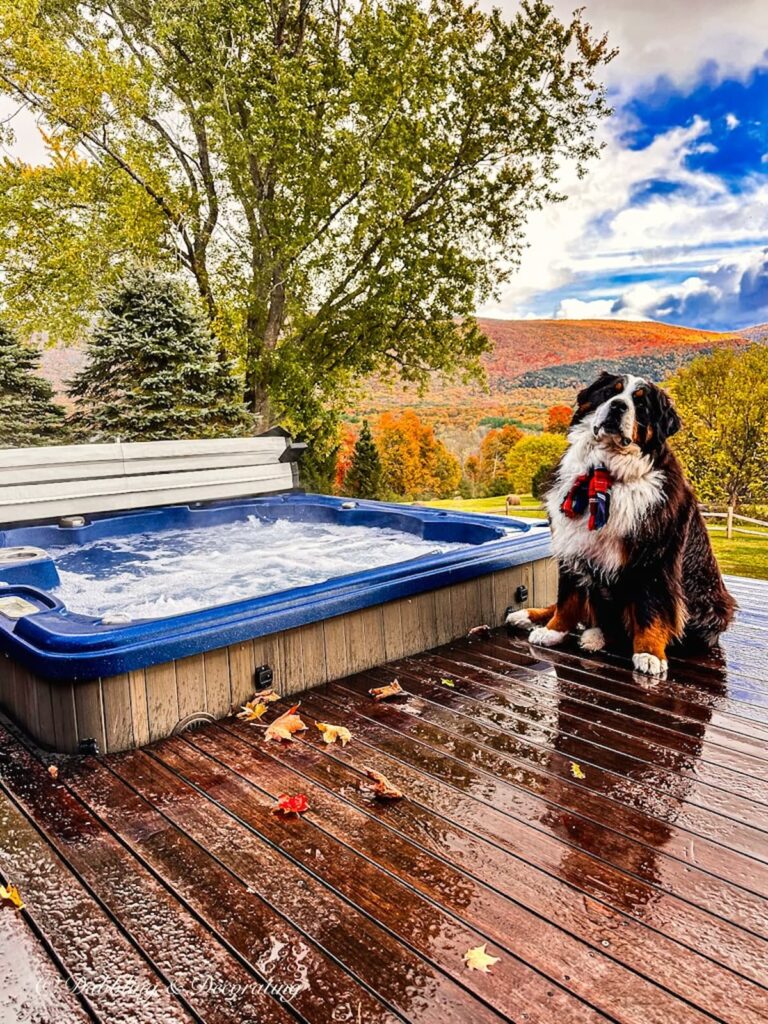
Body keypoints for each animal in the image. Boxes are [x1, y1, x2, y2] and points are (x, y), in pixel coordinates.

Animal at [507, 372, 737, 675]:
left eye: (640, 404)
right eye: (610, 393)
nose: (618, 406)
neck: (605, 472)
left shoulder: (654, 560)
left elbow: (650, 609)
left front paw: (649, 653)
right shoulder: (572, 546)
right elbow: (567, 599)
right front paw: (553, 631)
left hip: (710, 608)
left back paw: (594, 637)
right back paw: (529, 616)